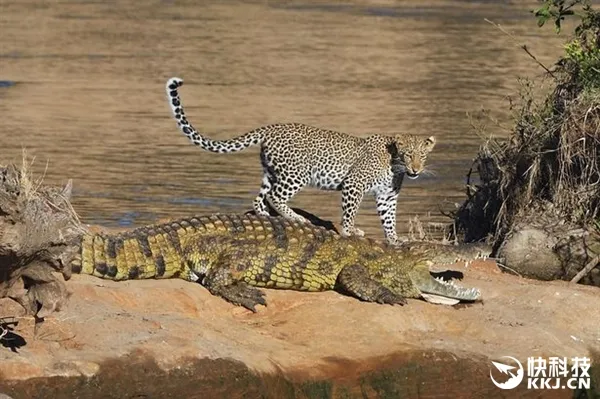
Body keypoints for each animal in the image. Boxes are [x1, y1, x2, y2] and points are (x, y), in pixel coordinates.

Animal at [164, 76, 436, 245]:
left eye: (422, 156)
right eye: (408, 154)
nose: (415, 170)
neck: (394, 166)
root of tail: (270, 128)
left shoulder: (387, 195)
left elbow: (389, 219)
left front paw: (395, 239)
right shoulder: (354, 185)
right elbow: (350, 212)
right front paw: (350, 231)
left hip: (272, 172)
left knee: (260, 198)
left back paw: (271, 218)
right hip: (296, 174)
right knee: (276, 196)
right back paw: (296, 218)